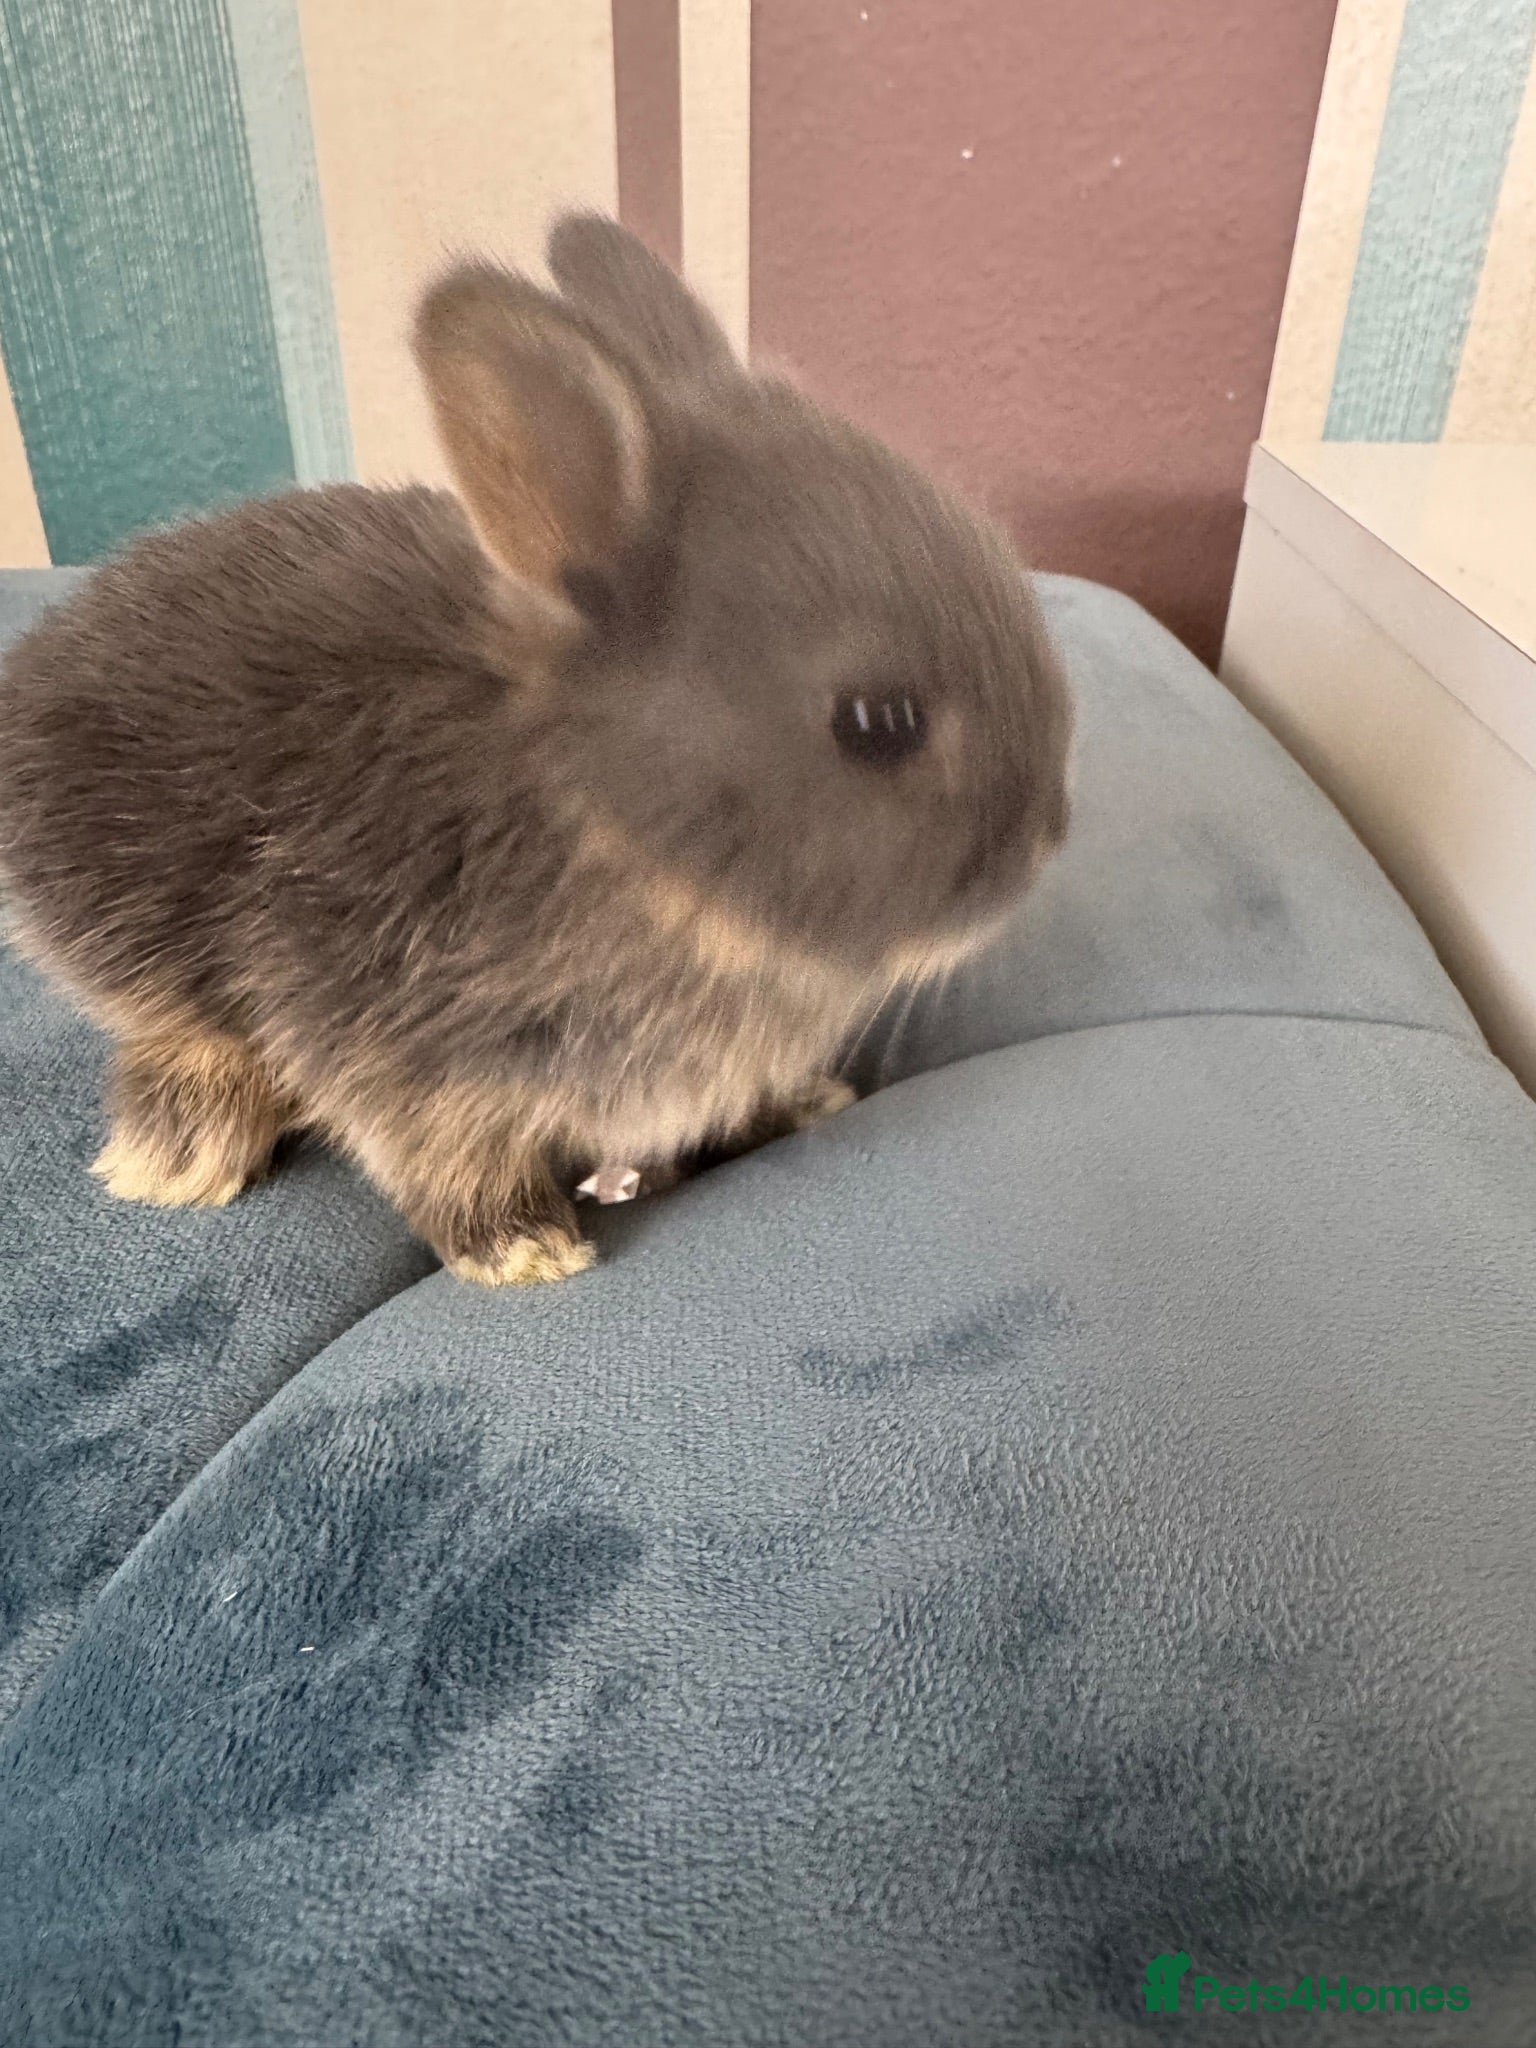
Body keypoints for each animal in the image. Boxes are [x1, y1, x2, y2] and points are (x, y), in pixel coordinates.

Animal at [0, 213, 1072, 1286]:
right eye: (877, 723)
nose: (1049, 835)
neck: (616, 840)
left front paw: (808, 1104)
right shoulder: (396, 1045)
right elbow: (440, 1153)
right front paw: (524, 1249)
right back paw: (176, 1157)